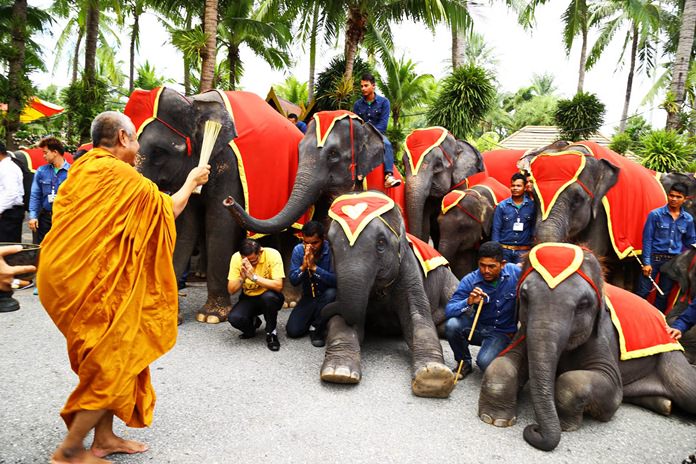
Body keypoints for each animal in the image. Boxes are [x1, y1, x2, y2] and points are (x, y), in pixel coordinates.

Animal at [124, 87, 302, 322]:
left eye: (160, 152)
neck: (192, 102)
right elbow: (186, 228)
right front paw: (171, 316)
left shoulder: (228, 164)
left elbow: (220, 222)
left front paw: (211, 317)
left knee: (290, 235)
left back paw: (290, 301)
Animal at [322, 190, 462, 396]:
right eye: (331, 245)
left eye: (381, 243)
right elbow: (341, 319)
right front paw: (339, 372)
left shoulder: (409, 270)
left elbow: (418, 319)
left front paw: (434, 376)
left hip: (451, 285)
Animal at [478, 245, 696, 452]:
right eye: (524, 297)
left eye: (582, 305)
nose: (535, 428)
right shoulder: (524, 332)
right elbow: (502, 362)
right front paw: (495, 419)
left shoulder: (602, 337)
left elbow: (606, 385)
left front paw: (565, 426)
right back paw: (664, 404)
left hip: (670, 355)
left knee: (688, 390)